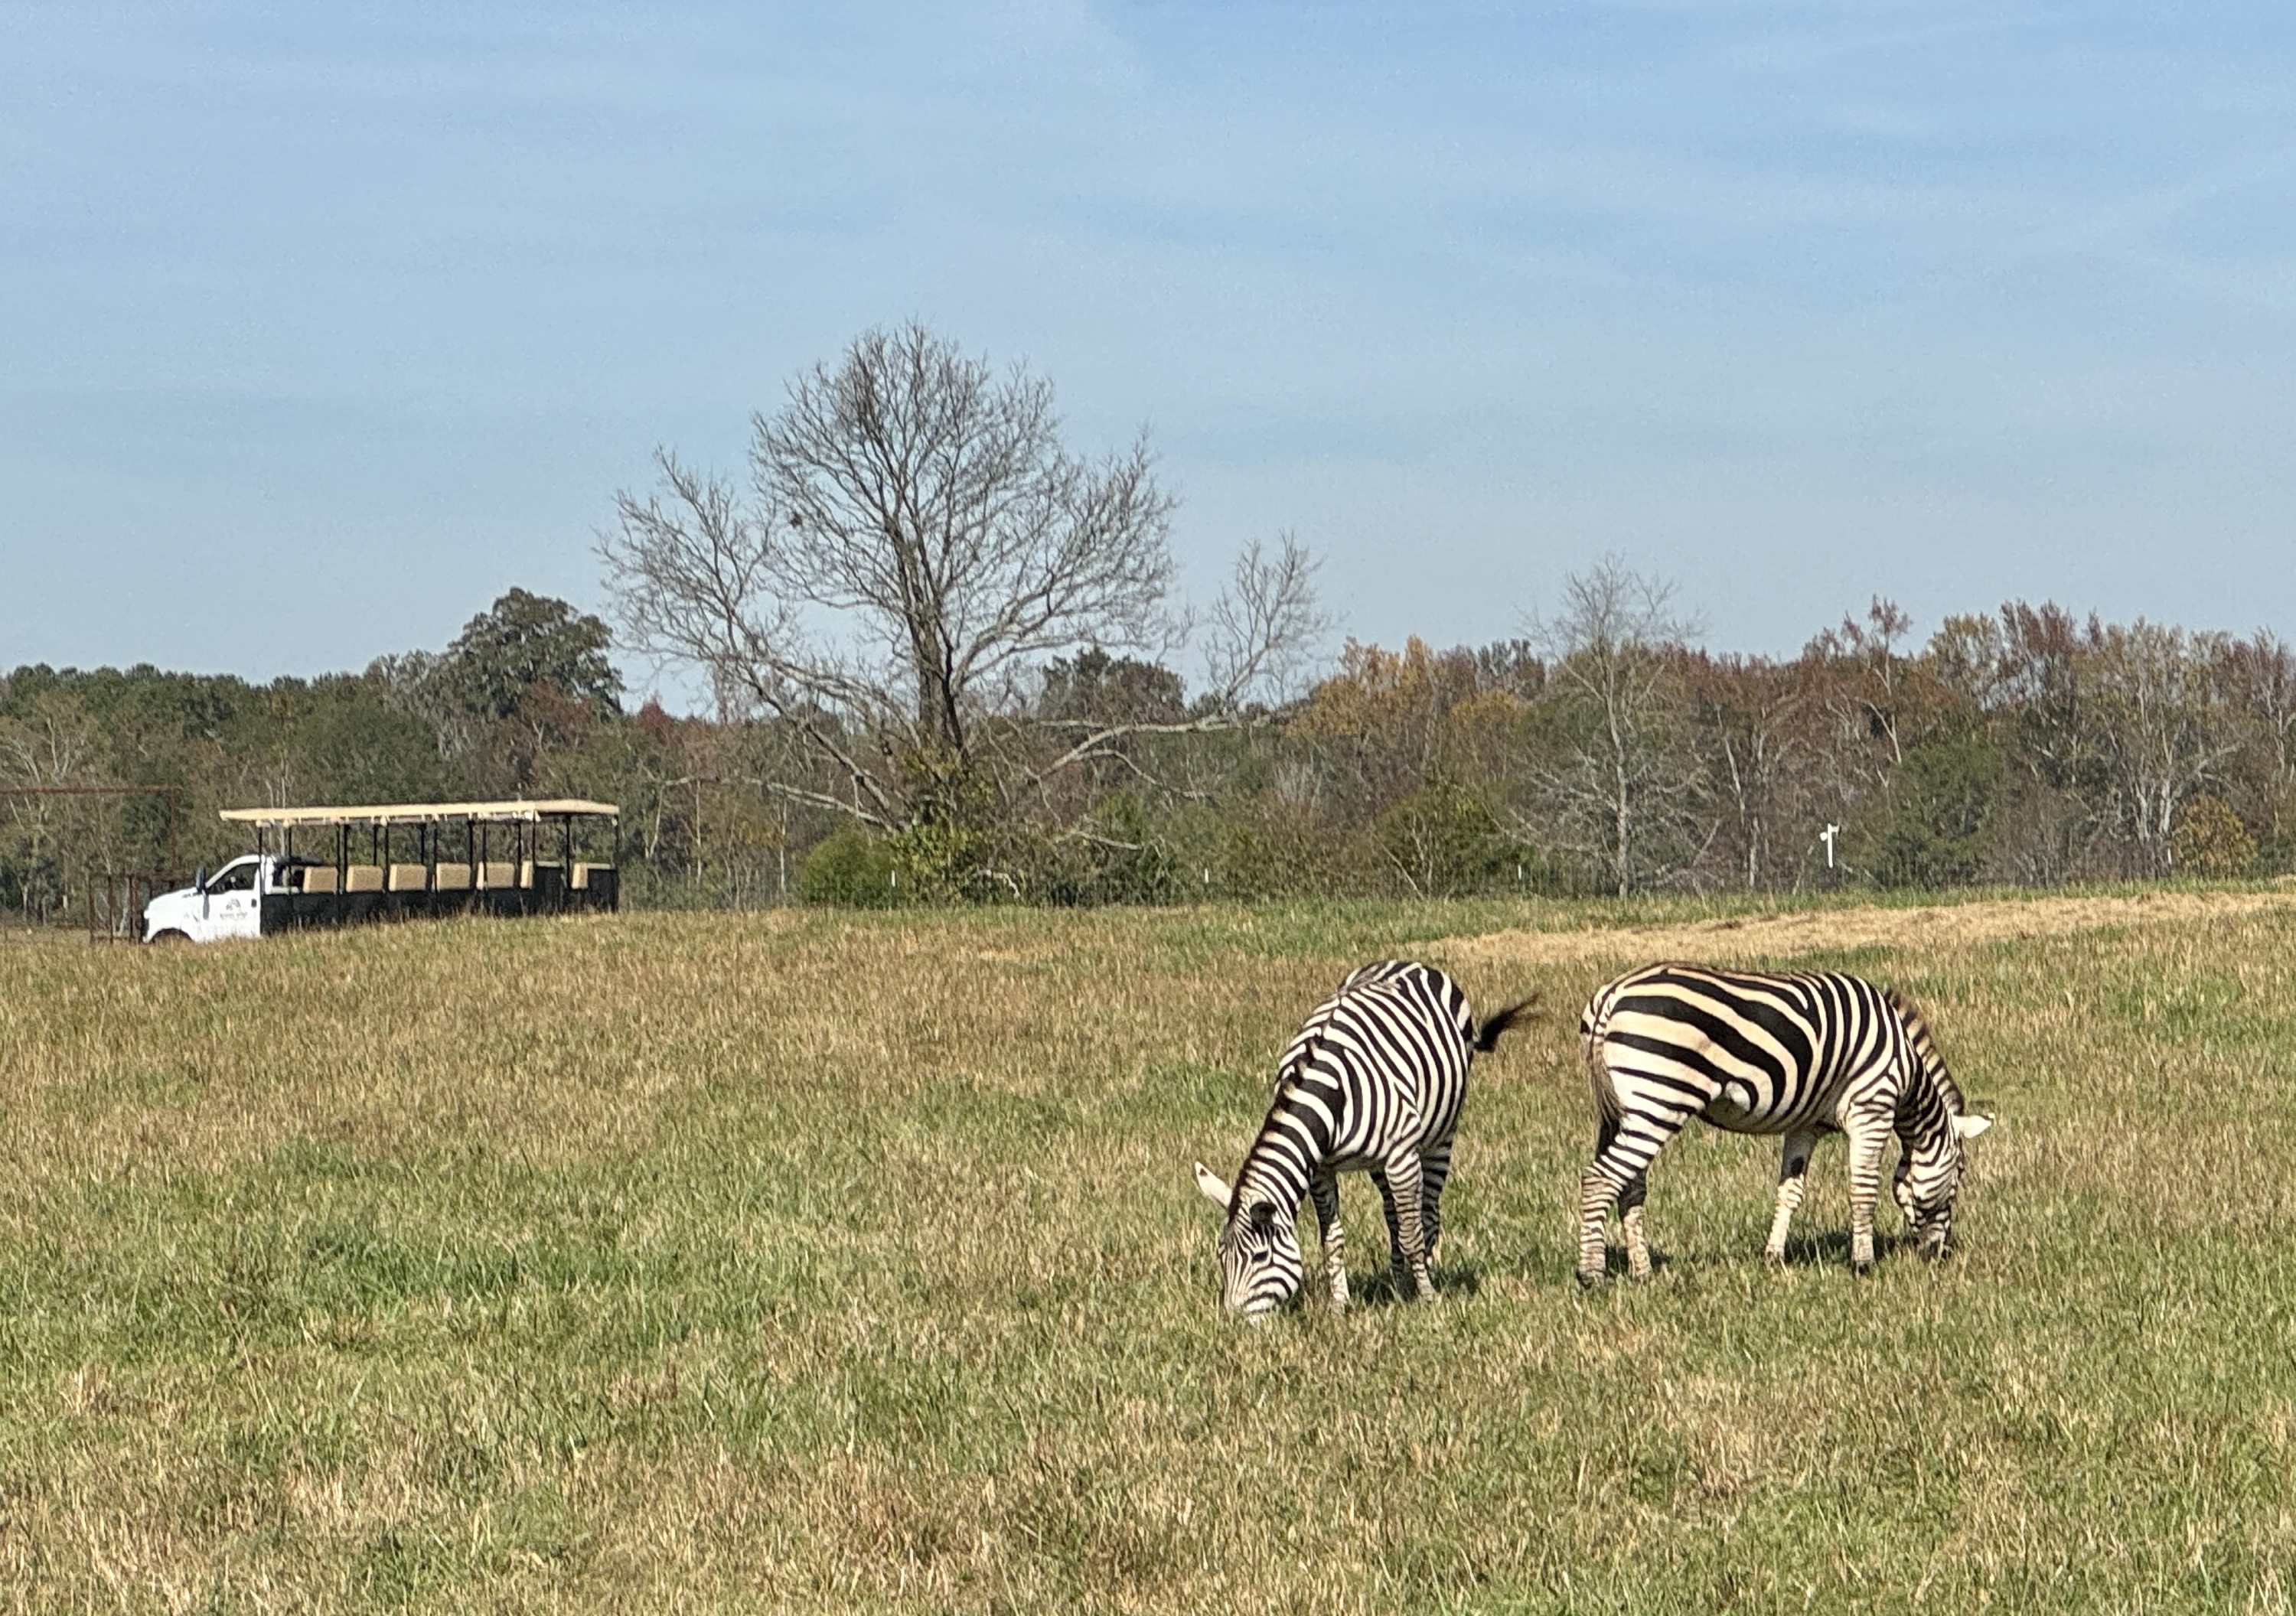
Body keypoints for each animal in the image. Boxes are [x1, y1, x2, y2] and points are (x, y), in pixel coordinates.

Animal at [1194, 960, 1534, 1313]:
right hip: (1378, 1163)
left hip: (1440, 1137)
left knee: (1427, 1213)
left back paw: (1422, 1277)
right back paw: (1398, 1284)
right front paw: (1339, 1304)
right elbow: (1333, 1238)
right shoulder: (1322, 1169)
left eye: (1260, 1257)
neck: (1329, 1095)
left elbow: (1412, 1233)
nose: (1233, 1319)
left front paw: (1427, 1296)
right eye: (1221, 1256)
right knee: (1393, 1216)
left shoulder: (1401, 1156)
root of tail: (1410, 962)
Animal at [1580, 960, 1993, 1285]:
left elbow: (1790, 1190)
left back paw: (1642, 1271)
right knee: (1600, 1179)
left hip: (1620, 1113)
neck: (1907, 1075)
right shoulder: (1872, 1110)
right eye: (1960, 1175)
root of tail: (1613, 994)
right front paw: (1863, 1263)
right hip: (1658, 1100)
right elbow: (1863, 1190)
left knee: (1629, 1186)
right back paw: (1591, 1276)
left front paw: (1773, 1257)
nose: (1941, 1253)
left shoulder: (1805, 1125)